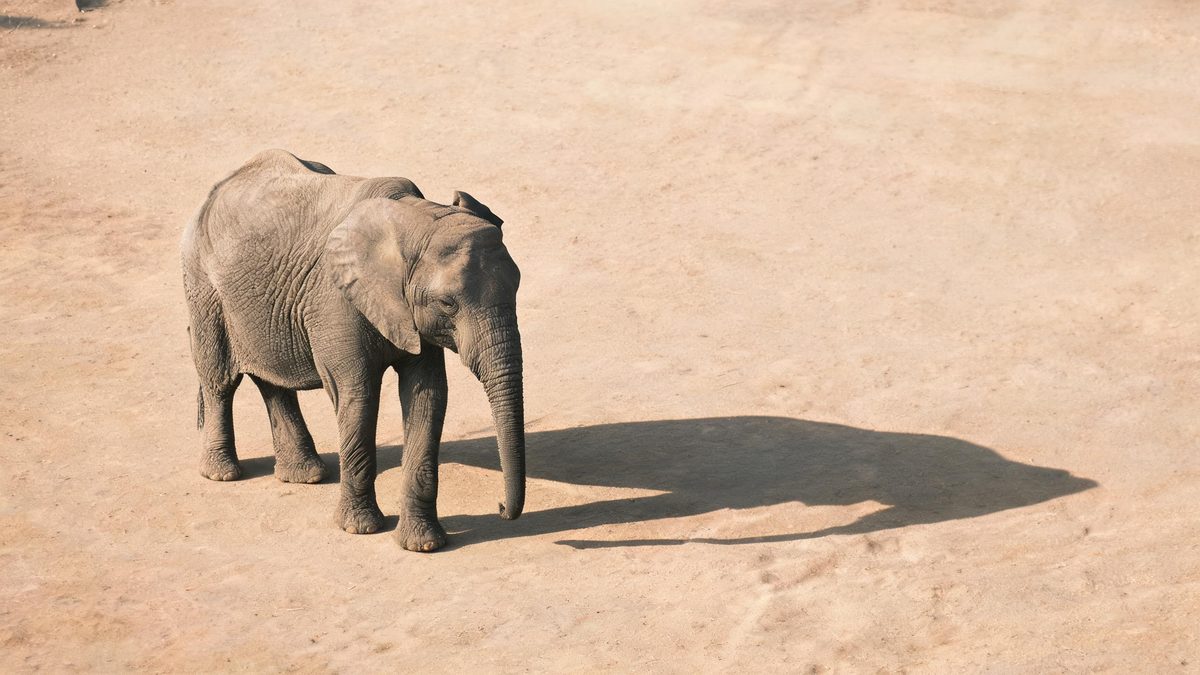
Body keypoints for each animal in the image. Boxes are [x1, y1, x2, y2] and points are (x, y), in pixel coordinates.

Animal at [180, 149, 525, 552]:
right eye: (447, 303)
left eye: (517, 287)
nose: (500, 507)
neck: (414, 218)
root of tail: (218, 187)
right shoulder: (336, 301)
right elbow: (358, 396)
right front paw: (361, 529)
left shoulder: (408, 314)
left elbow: (427, 396)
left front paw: (423, 545)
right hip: (203, 284)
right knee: (219, 379)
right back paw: (223, 474)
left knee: (272, 378)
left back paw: (305, 475)